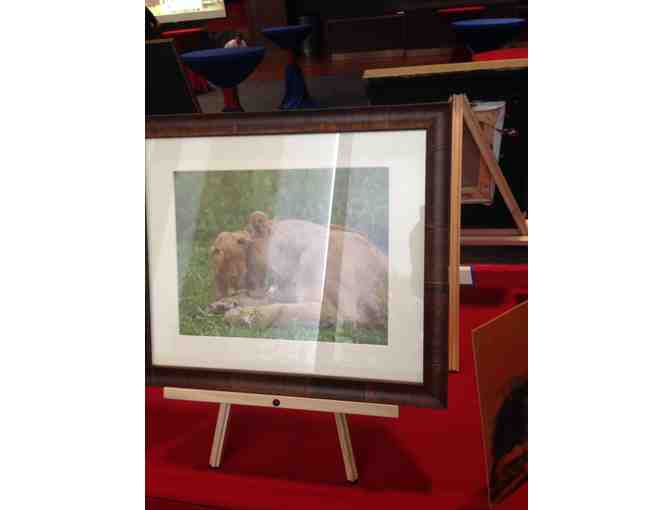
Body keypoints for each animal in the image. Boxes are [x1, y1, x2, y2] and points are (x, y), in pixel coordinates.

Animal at [208, 211, 388, 331]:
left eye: (241, 242)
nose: (220, 293)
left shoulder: (337, 311)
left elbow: (280, 309)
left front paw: (241, 316)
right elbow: (266, 300)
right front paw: (224, 304)